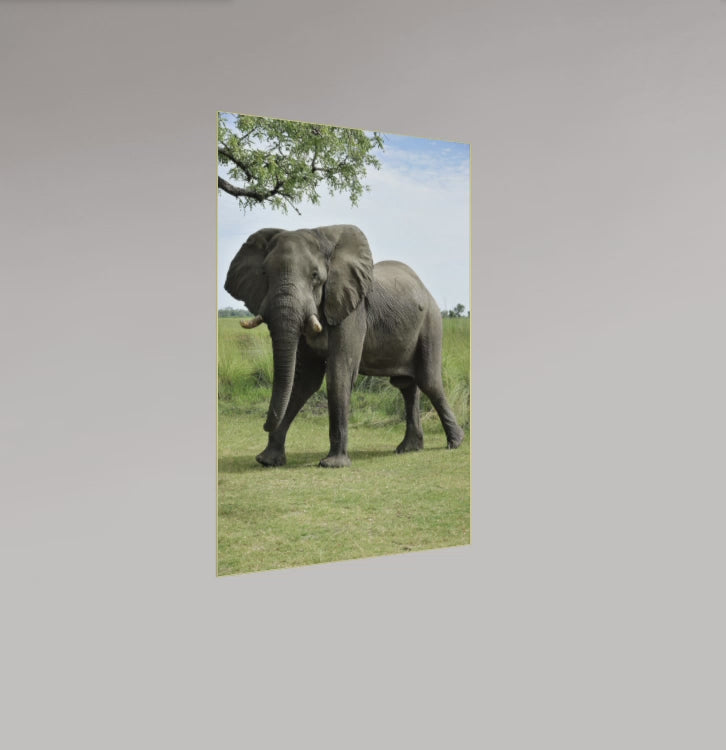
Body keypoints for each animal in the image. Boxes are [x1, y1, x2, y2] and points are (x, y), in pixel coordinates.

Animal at [224, 224, 465, 468]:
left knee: (429, 382)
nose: (264, 424)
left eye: (315, 276)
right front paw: (267, 460)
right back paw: (408, 448)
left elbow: (339, 372)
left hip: (431, 324)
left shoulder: (352, 311)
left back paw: (455, 442)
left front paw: (332, 464)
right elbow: (305, 379)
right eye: (265, 274)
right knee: (406, 385)